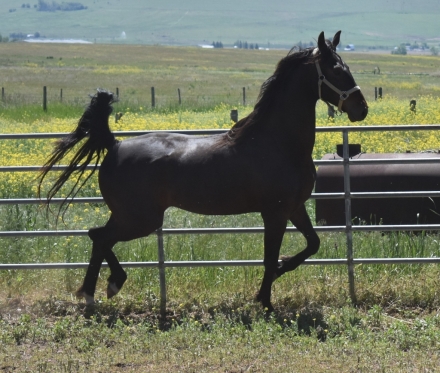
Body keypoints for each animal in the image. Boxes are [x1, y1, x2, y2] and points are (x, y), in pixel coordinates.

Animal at [38, 31, 368, 310]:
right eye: (336, 70)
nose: (361, 109)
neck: (278, 143)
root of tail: (114, 145)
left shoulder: (294, 208)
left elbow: (312, 244)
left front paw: (281, 269)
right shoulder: (274, 213)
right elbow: (268, 257)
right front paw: (264, 301)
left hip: (128, 216)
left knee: (98, 237)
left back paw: (94, 293)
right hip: (140, 219)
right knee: (99, 237)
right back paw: (107, 287)